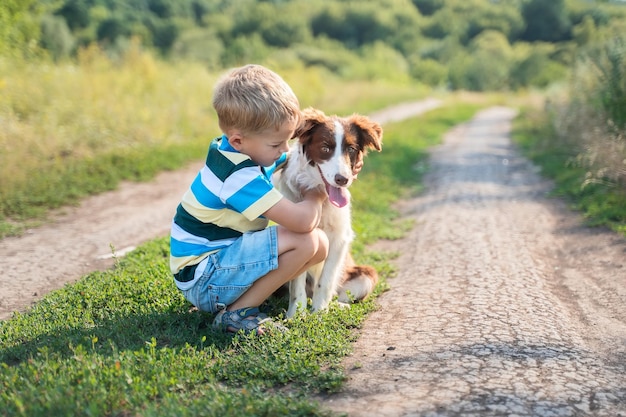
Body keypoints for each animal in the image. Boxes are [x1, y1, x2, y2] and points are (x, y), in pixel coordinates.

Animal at [276, 106, 382, 316]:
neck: (321, 199)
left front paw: (318, 312)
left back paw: (336, 306)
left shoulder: (340, 238)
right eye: (325, 147)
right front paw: (296, 315)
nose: (343, 179)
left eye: (351, 149)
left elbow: (325, 281)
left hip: (365, 274)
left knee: (339, 292)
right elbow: (297, 285)